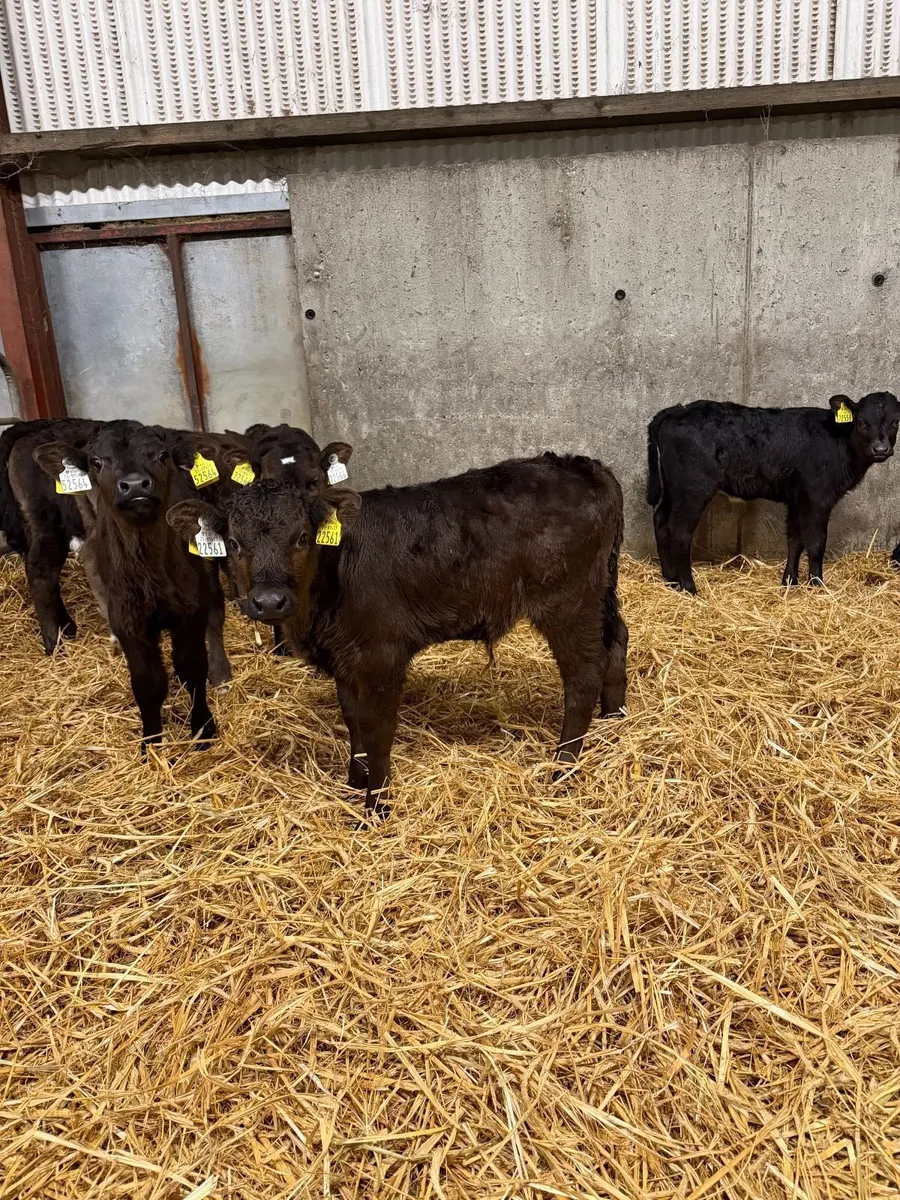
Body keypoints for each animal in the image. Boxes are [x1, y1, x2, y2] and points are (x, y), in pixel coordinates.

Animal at [33, 420, 218, 750]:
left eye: (162, 455)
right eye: (96, 462)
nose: (134, 485)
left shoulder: (192, 609)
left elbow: (192, 667)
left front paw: (203, 729)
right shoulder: (128, 620)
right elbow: (148, 684)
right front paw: (151, 745)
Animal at [168, 453, 628, 819]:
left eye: (302, 537)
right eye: (233, 543)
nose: (268, 602)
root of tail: (586, 466)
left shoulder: (381, 656)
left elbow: (377, 728)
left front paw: (375, 807)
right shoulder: (345, 658)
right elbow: (352, 718)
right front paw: (354, 782)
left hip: (568, 601)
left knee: (583, 674)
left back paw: (563, 766)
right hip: (600, 593)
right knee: (617, 640)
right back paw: (613, 720)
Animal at [647, 392, 900, 592]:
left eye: (896, 422)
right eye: (862, 422)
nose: (880, 449)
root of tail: (676, 410)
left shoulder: (798, 498)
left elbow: (795, 540)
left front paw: (789, 582)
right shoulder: (818, 497)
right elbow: (816, 543)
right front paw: (817, 585)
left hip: (674, 489)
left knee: (660, 521)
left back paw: (671, 582)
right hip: (693, 490)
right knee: (679, 533)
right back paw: (689, 588)